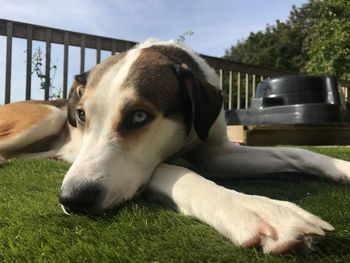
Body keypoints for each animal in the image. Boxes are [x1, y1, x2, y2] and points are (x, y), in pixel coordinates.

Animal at [0, 39, 350, 256]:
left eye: (139, 116)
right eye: (83, 116)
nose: (72, 200)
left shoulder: (216, 154)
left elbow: (292, 151)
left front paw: (341, 168)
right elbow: (176, 171)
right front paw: (257, 210)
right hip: (50, 116)